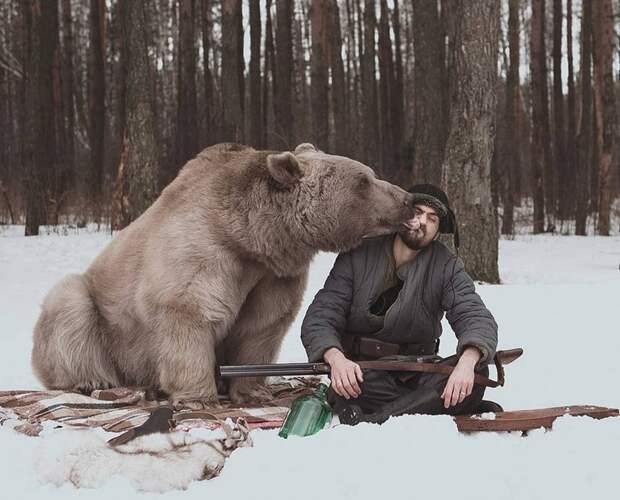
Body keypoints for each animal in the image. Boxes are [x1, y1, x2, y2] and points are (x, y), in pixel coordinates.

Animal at [31, 144, 414, 406]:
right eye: (363, 180)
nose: (408, 199)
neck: (253, 238)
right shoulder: (205, 253)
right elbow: (188, 311)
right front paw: (199, 396)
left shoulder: (274, 276)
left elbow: (262, 326)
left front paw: (253, 391)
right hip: (100, 318)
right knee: (69, 307)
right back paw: (91, 381)